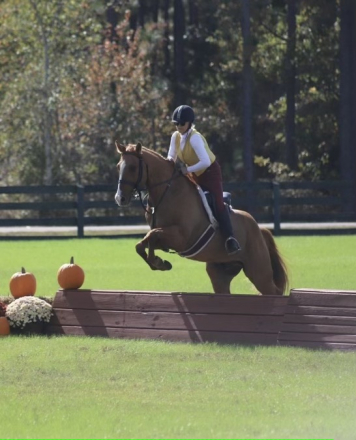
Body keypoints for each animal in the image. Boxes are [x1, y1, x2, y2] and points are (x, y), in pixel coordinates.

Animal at [115, 142, 288, 296]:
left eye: (132, 167)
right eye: (118, 166)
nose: (120, 198)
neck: (168, 193)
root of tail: (260, 229)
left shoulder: (180, 238)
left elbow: (152, 235)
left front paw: (158, 262)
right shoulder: (165, 240)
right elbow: (142, 244)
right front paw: (159, 263)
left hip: (258, 272)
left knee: (274, 291)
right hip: (219, 272)